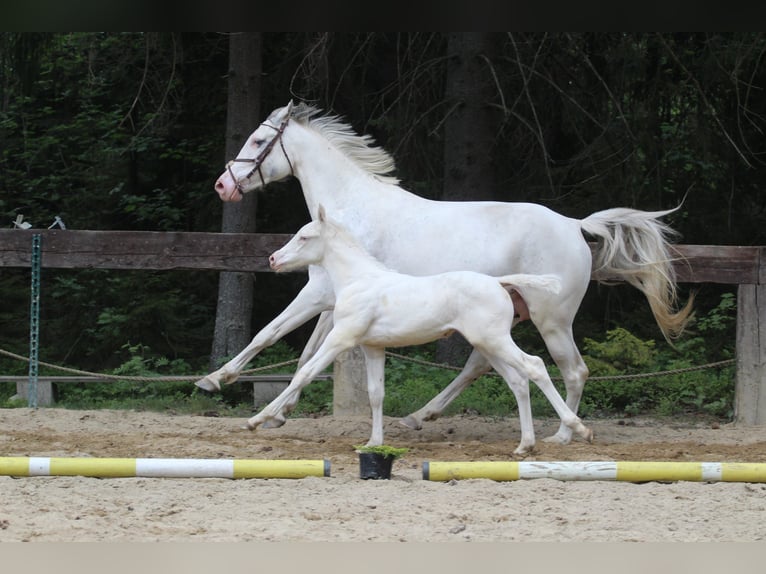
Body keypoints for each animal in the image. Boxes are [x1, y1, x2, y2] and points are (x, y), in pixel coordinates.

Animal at [255, 207, 596, 454]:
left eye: (304, 237)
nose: (273, 258)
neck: (359, 279)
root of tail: (499, 283)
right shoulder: (371, 347)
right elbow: (376, 393)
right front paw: (374, 442)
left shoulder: (341, 338)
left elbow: (304, 373)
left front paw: (259, 419)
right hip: (489, 344)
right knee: (518, 380)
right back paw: (525, 445)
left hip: (498, 340)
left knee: (536, 367)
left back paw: (576, 429)